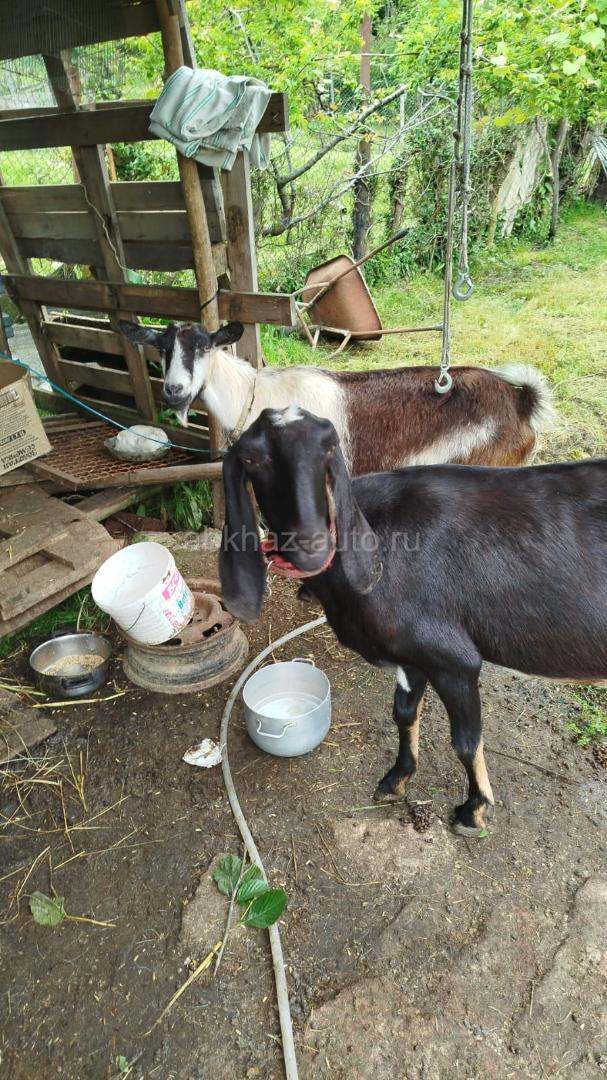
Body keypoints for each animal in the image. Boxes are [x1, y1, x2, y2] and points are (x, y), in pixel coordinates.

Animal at [219, 407, 607, 836]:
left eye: (329, 447)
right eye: (251, 458)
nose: (311, 544)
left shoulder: (452, 660)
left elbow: (465, 741)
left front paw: (474, 810)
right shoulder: (411, 657)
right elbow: (403, 713)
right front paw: (396, 779)